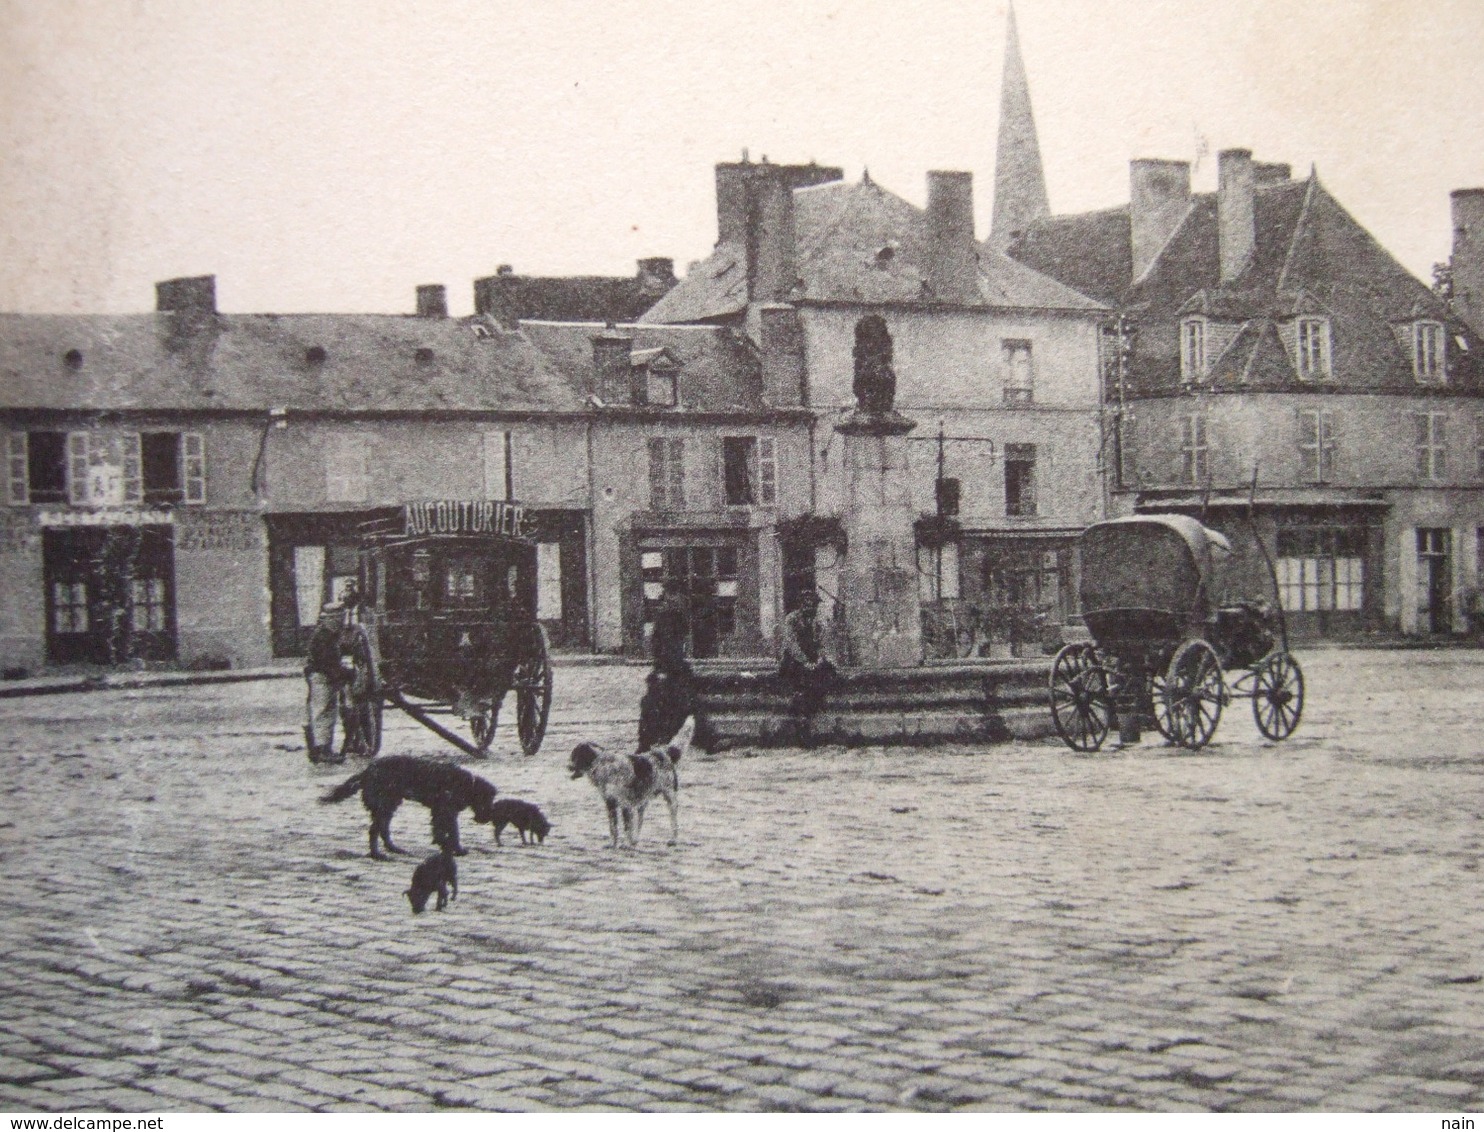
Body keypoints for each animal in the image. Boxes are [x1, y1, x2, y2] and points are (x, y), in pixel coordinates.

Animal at [319, 759, 498, 860]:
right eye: (487, 800)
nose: (488, 818)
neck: (467, 784)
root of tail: (366, 771)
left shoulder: (441, 812)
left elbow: (445, 832)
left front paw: (447, 845)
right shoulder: (445, 811)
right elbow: (452, 833)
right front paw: (455, 848)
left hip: (390, 805)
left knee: (383, 829)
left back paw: (393, 849)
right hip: (385, 805)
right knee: (375, 830)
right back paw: (378, 855)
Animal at [566, 721, 694, 848]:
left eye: (574, 755)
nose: (567, 767)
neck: (604, 765)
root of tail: (663, 753)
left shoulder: (625, 804)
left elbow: (627, 827)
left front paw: (625, 844)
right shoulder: (611, 803)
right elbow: (613, 828)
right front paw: (613, 844)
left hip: (669, 796)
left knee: (674, 821)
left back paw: (673, 840)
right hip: (643, 799)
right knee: (640, 821)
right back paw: (636, 840)